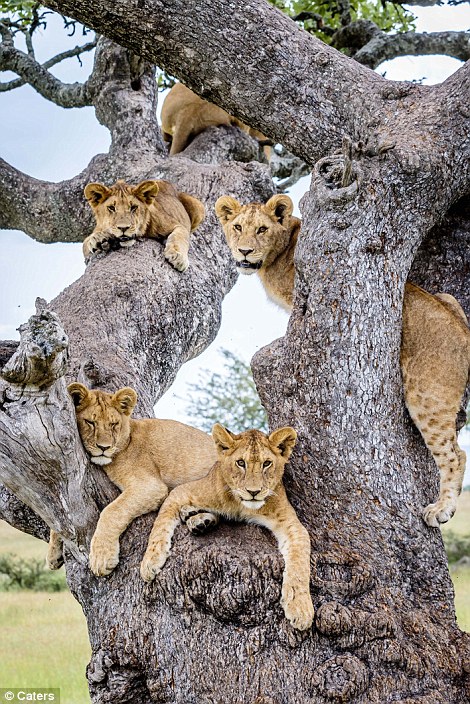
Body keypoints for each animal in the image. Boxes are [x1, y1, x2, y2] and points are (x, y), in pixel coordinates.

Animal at [46, 383, 217, 576]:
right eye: (90, 422)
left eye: (113, 424)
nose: (104, 447)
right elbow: (58, 518)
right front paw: (53, 554)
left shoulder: (150, 485)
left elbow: (111, 511)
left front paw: (101, 558)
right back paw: (198, 520)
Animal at [140, 424, 314, 631]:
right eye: (240, 463)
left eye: (267, 463)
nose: (253, 492)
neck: (241, 505)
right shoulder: (182, 491)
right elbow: (160, 524)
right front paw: (150, 562)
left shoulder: (290, 523)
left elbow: (300, 561)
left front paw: (300, 607)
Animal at [215, 194, 470, 528]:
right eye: (237, 227)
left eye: (261, 229)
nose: (244, 251)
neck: (280, 251)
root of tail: (463, 335)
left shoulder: (299, 301)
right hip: (449, 300)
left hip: (428, 395)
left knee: (455, 454)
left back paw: (441, 509)